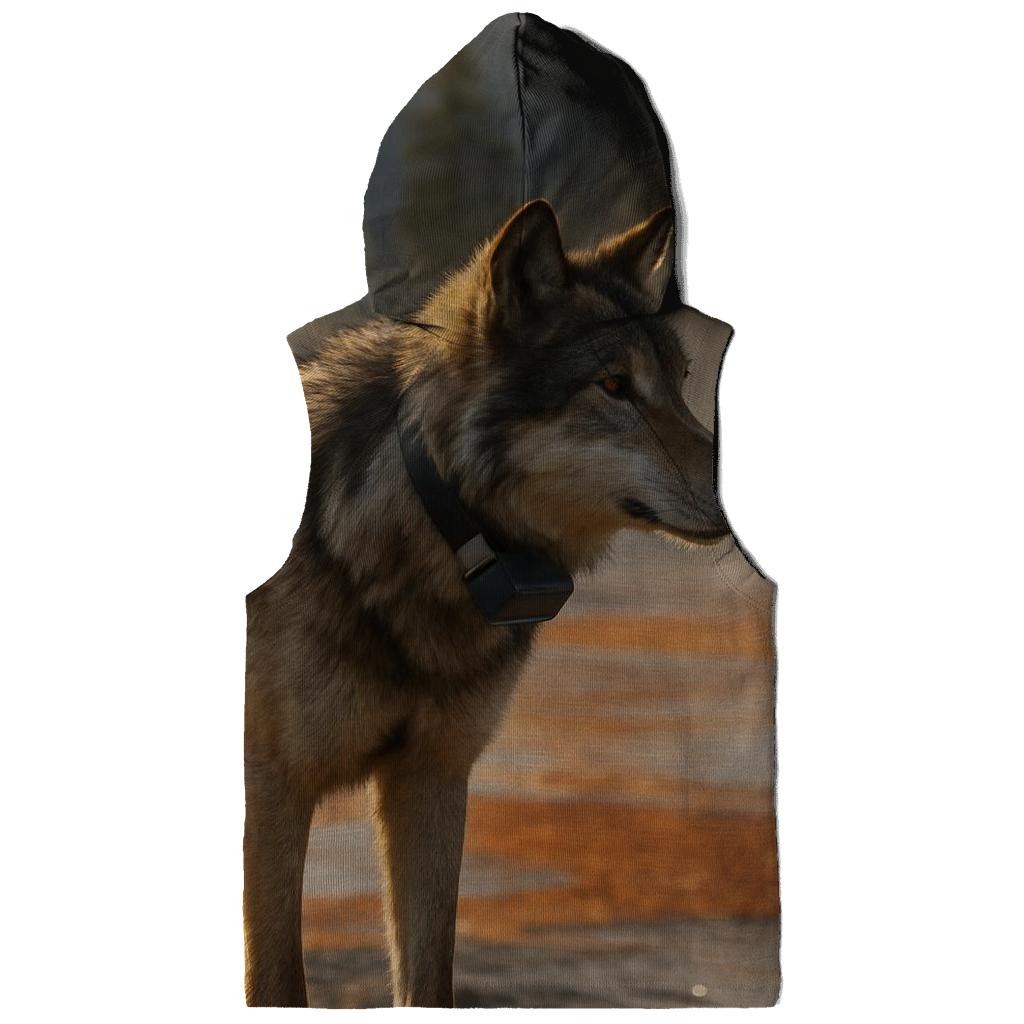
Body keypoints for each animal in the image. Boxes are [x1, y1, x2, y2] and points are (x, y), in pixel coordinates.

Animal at [244, 198, 729, 1007]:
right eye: (614, 387)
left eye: (682, 381)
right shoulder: (275, 793)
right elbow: (278, 981)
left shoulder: (433, 779)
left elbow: (429, 976)